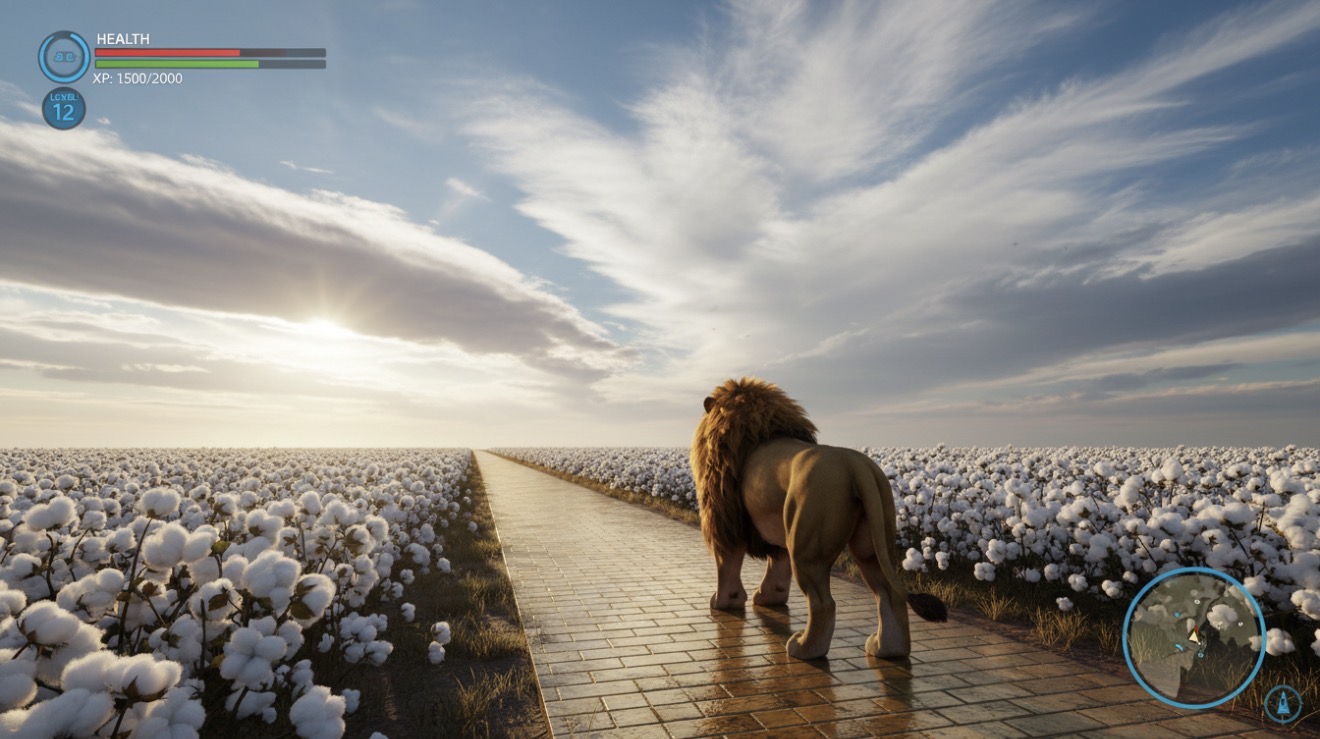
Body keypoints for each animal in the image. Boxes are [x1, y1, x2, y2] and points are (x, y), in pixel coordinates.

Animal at [690, 377, 947, 660]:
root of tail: (857, 466)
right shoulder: (781, 528)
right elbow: (777, 567)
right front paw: (769, 598)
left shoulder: (725, 519)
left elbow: (727, 563)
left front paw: (725, 602)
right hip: (870, 544)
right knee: (888, 595)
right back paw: (885, 649)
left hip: (807, 550)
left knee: (824, 604)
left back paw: (803, 649)